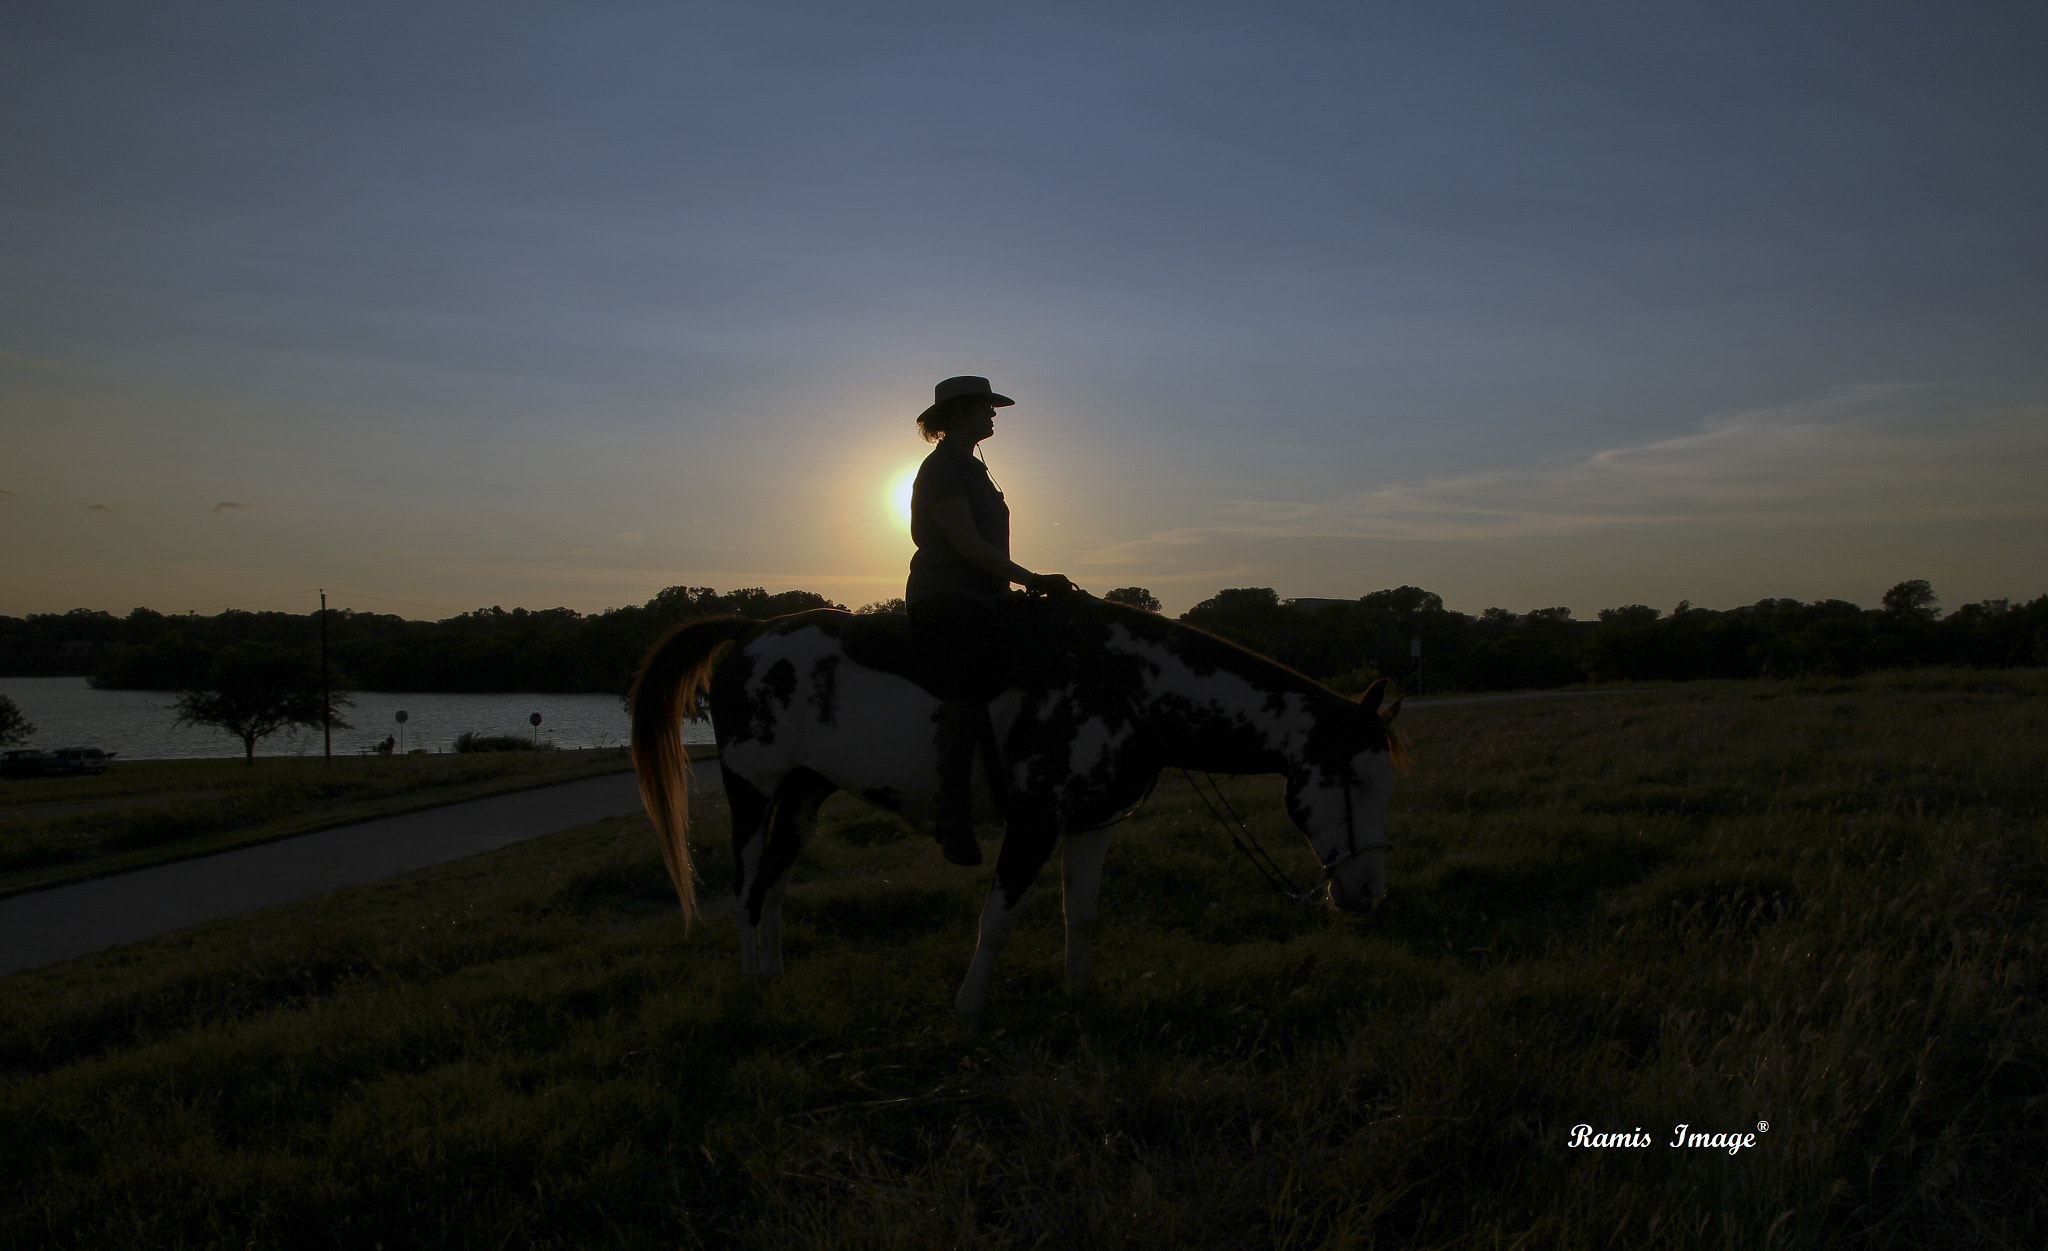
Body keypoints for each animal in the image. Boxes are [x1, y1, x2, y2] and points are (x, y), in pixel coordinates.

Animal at [634, 597, 1409, 1019]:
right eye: (1357, 777)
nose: (1368, 893)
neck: (1125, 686)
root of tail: (748, 631)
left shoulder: (1091, 825)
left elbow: (1082, 915)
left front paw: (1080, 992)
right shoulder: (1033, 825)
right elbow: (998, 920)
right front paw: (969, 1007)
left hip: (802, 796)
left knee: (775, 888)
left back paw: (771, 974)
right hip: (752, 792)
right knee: (746, 891)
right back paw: (749, 985)